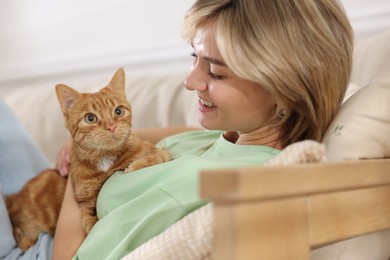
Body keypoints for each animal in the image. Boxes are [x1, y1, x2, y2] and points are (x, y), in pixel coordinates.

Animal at [6, 68, 171, 251]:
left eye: (118, 111)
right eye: (90, 118)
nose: (111, 127)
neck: (106, 159)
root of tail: (13, 197)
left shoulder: (161, 152)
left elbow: (153, 157)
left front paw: (134, 165)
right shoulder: (85, 205)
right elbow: (89, 223)